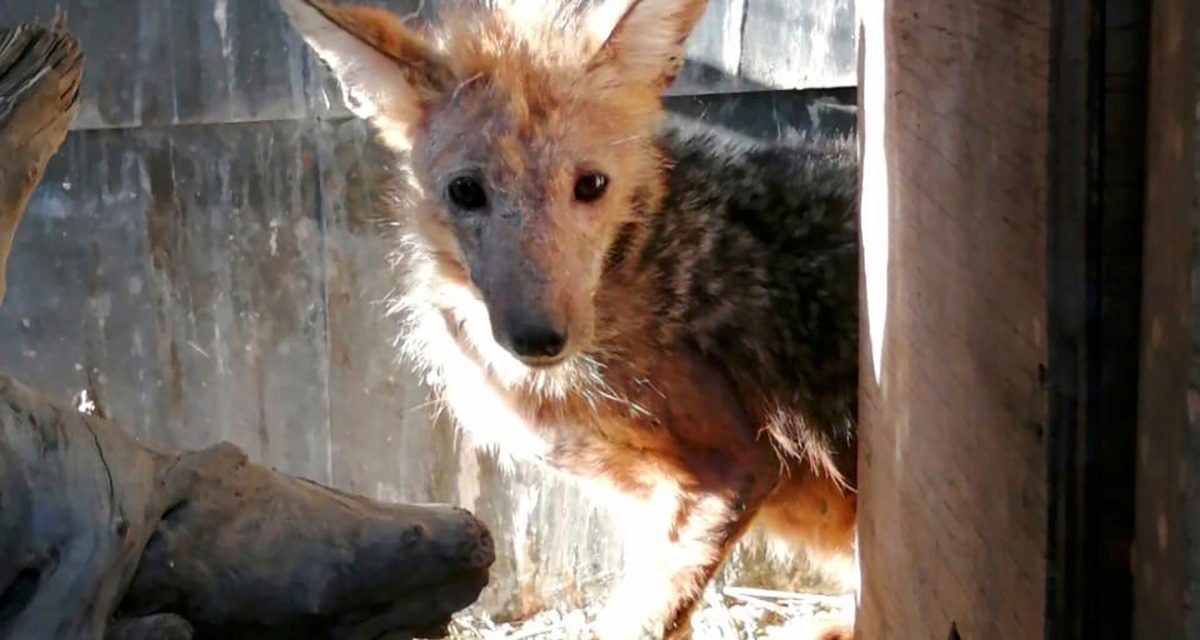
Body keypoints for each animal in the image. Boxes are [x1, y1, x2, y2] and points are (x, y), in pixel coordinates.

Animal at [278, 2, 864, 633]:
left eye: (591, 185)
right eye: (466, 192)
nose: (539, 339)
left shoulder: (734, 470)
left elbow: (645, 619)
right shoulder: (656, 500)